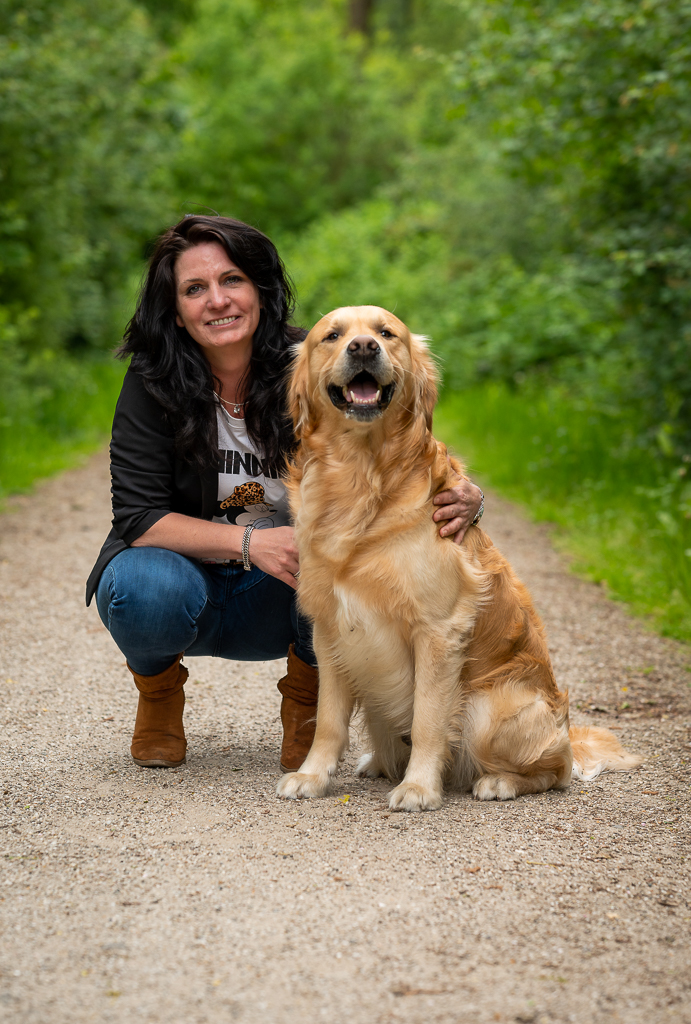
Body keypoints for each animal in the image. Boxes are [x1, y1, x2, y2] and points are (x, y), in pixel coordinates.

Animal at [276, 306, 641, 812]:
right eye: (332, 336)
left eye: (387, 332)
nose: (364, 347)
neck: (360, 475)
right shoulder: (329, 628)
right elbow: (328, 719)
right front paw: (311, 776)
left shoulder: (438, 628)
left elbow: (429, 719)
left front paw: (418, 788)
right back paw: (377, 762)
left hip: (492, 708)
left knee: (557, 770)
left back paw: (498, 782)